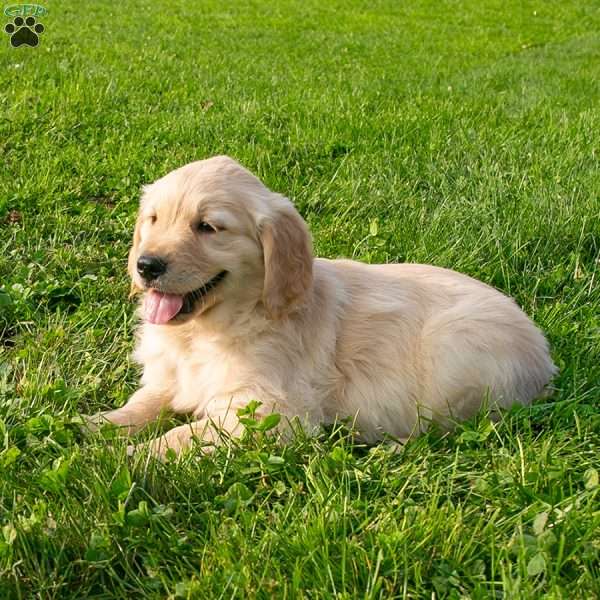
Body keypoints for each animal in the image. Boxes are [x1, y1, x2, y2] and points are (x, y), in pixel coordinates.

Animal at [90, 156, 556, 460]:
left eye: (208, 227)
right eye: (153, 220)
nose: (146, 265)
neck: (204, 333)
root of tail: (546, 361)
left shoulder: (268, 412)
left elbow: (181, 437)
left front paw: (126, 458)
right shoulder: (170, 377)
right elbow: (145, 402)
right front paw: (95, 426)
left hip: (454, 355)